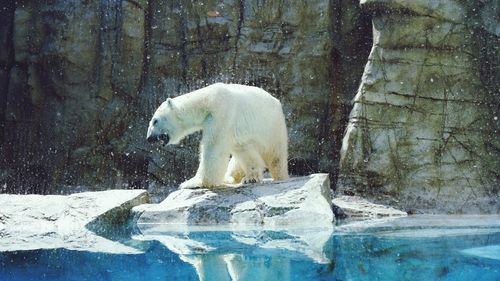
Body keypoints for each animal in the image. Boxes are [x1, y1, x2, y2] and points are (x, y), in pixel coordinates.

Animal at [146, 82, 288, 188]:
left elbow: (213, 148)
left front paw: (193, 182)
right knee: (242, 152)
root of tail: (277, 102)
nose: (149, 138)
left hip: (272, 129)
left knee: (276, 156)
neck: (207, 101)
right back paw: (238, 178)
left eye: (155, 120)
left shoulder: (221, 114)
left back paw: (279, 176)